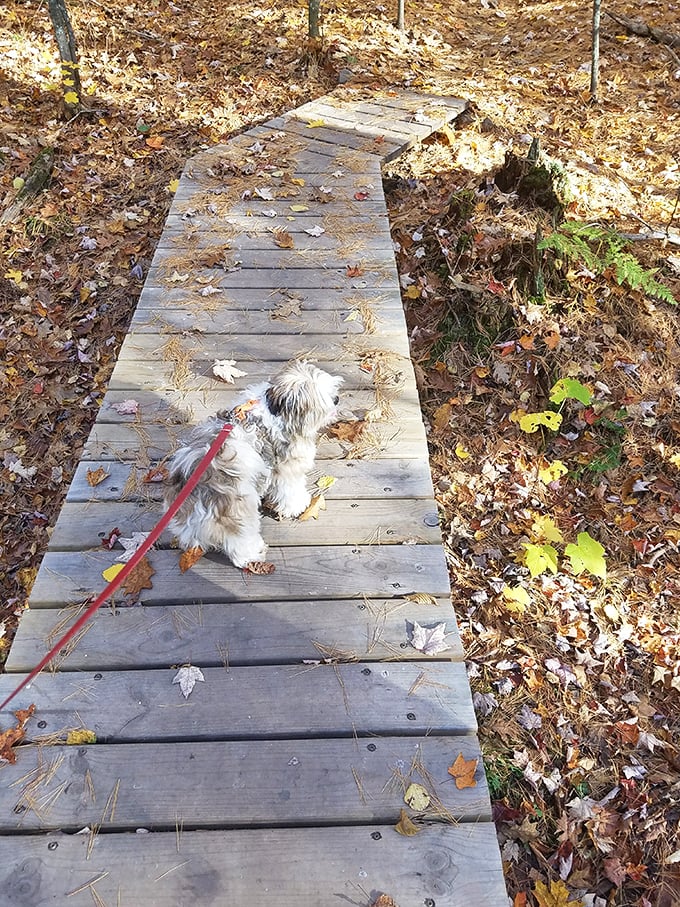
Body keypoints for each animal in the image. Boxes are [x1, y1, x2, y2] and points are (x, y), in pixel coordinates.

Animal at [164, 362, 342, 568]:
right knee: (239, 544)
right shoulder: (287, 467)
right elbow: (291, 490)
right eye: (321, 398)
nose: (336, 399)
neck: (273, 408)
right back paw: (253, 554)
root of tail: (199, 492)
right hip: (240, 515)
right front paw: (298, 504)